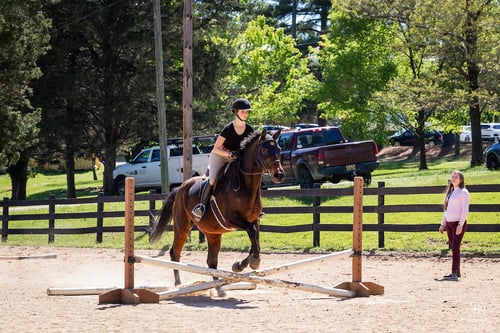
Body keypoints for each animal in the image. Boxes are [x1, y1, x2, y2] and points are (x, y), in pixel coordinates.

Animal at [149, 128, 286, 292]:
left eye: (278, 149)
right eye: (264, 150)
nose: (279, 175)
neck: (246, 186)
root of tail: (180, 188)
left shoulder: (254, 220)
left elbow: (255, 240)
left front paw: (241, 265)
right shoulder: (232, 219)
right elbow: (252, 234)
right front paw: (253, 262)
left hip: (212, 233)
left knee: (211, 261)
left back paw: (218, 288)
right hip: (182, 226)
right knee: (175, 252)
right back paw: (178, 284)